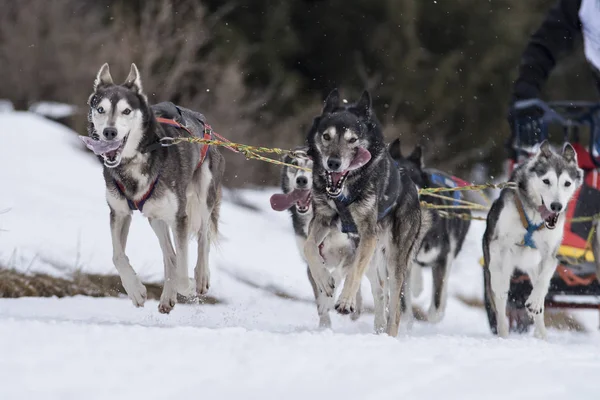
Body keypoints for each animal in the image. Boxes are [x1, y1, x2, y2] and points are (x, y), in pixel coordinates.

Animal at [82, 63, 225, 312]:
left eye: (126, 111)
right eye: (100, 109)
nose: (110, 132)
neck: (134, 162)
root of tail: (203, 122)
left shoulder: (179, 217)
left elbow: (183, 272)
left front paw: (187, 285)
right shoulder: (119, 212)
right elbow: (117, 256)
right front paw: (136, 290)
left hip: (202, 196)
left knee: (203, 235)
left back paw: (200, 278)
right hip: (155, 216)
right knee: (170, 255)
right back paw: (168, 296)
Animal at [270, 148, 360, 328]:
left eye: (314, 167)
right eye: (294, 164)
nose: (301, 180)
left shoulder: (350, 251)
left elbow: (339, 274)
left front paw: (328, 301)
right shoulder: (310, 264)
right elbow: (319, 289)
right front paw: (324, 325)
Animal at [308, 89, 428, 336]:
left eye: (352, 139)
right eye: (326, 136)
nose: (333, 163)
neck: (346, 188)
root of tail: (413, 188)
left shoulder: (367, 234)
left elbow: (354, 271)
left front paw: (345, 301)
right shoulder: (323, 220)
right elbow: (309, 248)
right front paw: (324, 280)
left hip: (394, 259)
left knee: (395, 307)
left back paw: (389, 336)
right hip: (373, 256)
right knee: (379, 290)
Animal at [482, 141, 580, 338]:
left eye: (567, 183)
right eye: (546, 181)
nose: (556, 206)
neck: (534, 216)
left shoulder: (550, 254)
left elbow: (544, 279)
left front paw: (534, 302)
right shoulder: (497, 241)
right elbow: (497, 274)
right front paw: (499, 283)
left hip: (534, 266)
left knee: (539, 296)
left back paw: (541, 333)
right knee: (500, 306)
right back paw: (503, 333)